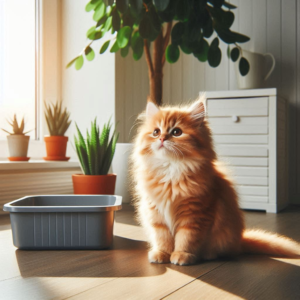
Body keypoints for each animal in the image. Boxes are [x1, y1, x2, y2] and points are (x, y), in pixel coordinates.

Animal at [131, 96, 300, 264]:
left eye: (176, 132)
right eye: (155, 132)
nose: (161, 138)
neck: (170, 169)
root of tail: (239, 242)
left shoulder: (195, 215)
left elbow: (186, 238)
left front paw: (182, 255)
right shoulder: (156, 213)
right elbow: (162, 238)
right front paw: (162, 253)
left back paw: (208, 255)